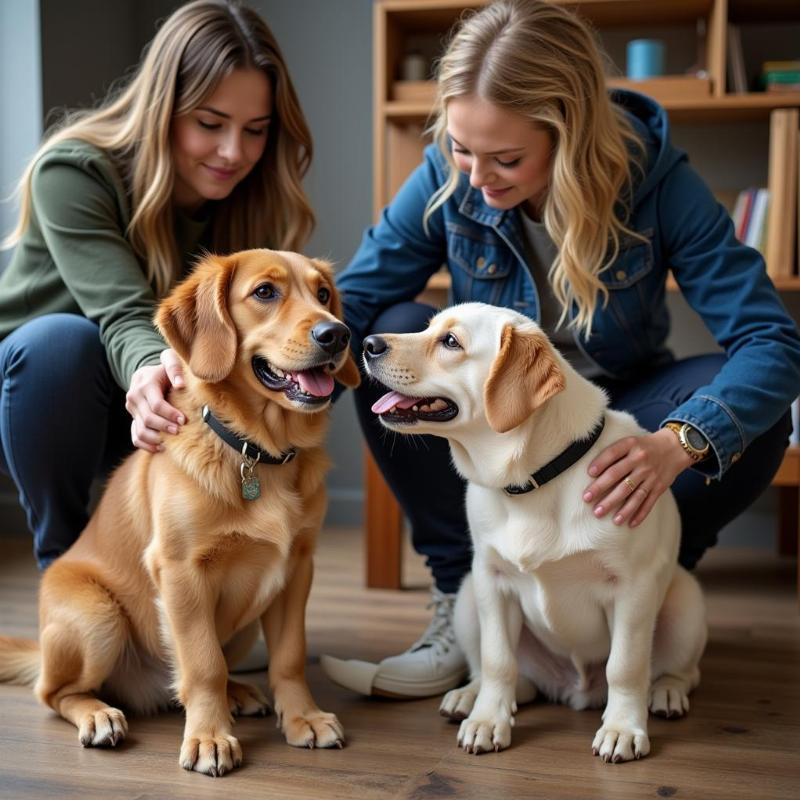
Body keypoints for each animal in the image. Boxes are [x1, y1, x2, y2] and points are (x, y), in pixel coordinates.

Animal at [0, 248, 360, 776]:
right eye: (265, 292)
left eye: (323, 294)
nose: (337, 334)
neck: (256, 452)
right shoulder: (181, 571)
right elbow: (203, 664)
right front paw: (209, 737)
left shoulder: (297, 569)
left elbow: (289, 657)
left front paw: (303, 718)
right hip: (97, 617)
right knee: (55, 693)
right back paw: (99, 714)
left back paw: (238, 693)